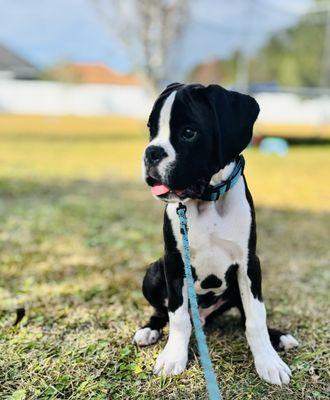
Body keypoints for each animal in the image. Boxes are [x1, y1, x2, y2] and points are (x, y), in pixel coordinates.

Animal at [132, 83, 300, 384]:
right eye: (151, 129)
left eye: (189, 132)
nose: (151, 152)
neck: (206, 200)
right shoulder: (174, 263)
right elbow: (177, 316)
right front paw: (173, 357)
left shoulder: (249, 264)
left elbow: (256, 317)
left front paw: (268, 361)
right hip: (153, 271)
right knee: (163, 311)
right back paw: (149, 330)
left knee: (245, 315)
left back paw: (279, 337)